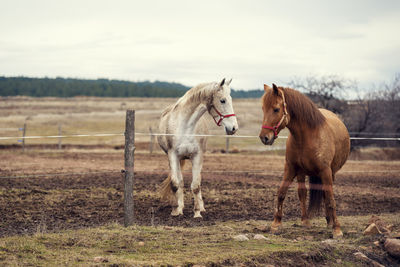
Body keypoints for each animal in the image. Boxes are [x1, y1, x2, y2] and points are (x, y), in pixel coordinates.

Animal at [156, 78, 238, 219]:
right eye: (222, 100)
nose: (234, 128)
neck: (185, 127)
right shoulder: (173, 156)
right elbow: (176, 183)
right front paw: (176, 210)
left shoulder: (197, 156)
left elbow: (195, 185)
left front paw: (197, 212)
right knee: (180, 182)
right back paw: (180, 206)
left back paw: (201, 207)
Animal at [260, 84, 350, 239]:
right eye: (263, 109)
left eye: (276, 109)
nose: (264, 137)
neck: (307, 137)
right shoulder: (290, 168)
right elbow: (282, 193)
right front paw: (276, 224)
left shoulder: (325, 172)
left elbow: (330, 199)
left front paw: (337, 229)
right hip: (302, 173)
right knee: (302, 193)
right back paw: (305, 221)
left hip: (330, 173)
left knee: (325, 195)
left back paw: (329, 222)